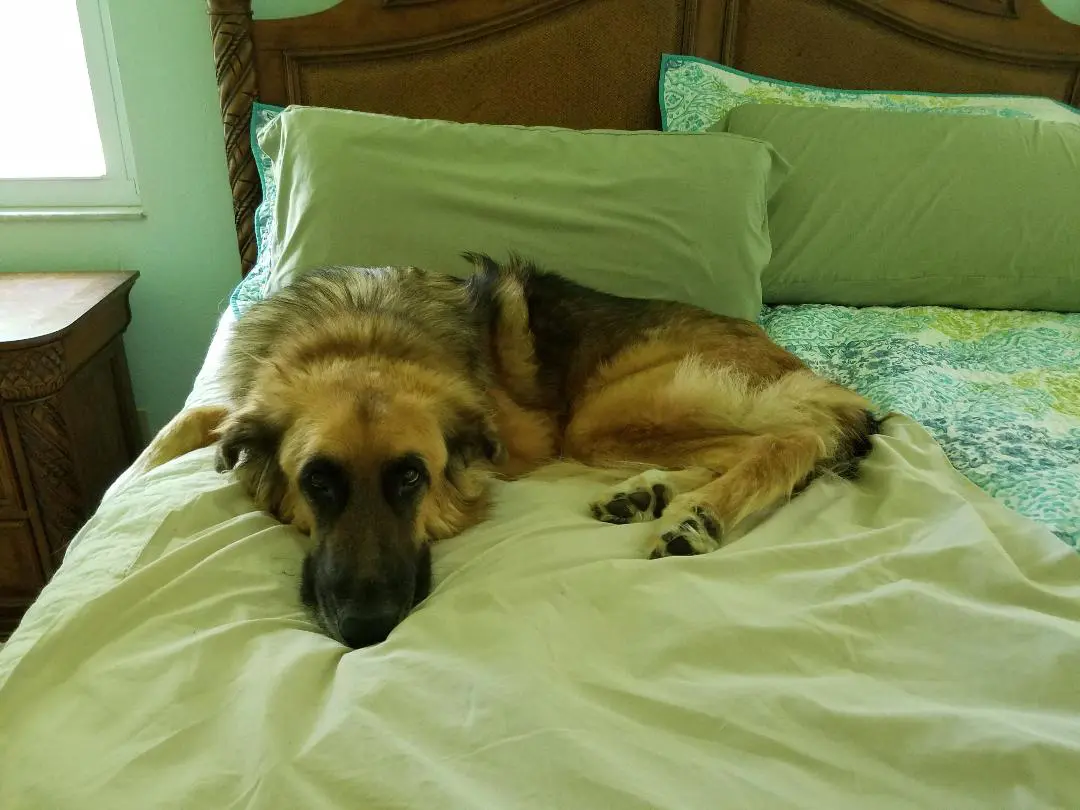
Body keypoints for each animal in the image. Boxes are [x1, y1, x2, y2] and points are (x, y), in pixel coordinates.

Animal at [137, 257, 876, 652]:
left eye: (412, 478)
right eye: (316, 481)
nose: (366, 628)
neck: (362, 335)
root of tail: (799, 366)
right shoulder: (243, 402)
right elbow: (189, 421)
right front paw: (148, 466)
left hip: (604, 415)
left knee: (797, 438)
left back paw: (699, 517)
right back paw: (647, 493)